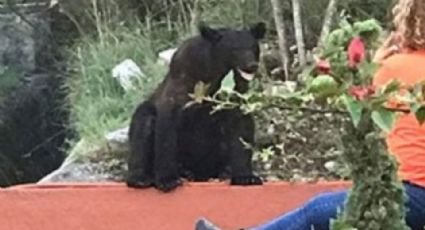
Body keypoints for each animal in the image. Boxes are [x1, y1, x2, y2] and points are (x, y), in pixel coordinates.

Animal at [126, 22, 264, 192]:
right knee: (143, 127)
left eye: (253, 47)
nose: (252, 65)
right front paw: (167, 179)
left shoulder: (235, 93)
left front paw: (246, 177)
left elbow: (241, 128)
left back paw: (224, 172)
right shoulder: (181, 86)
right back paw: (142, 178)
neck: (213, 74)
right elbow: (167, 130)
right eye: (235, 49)